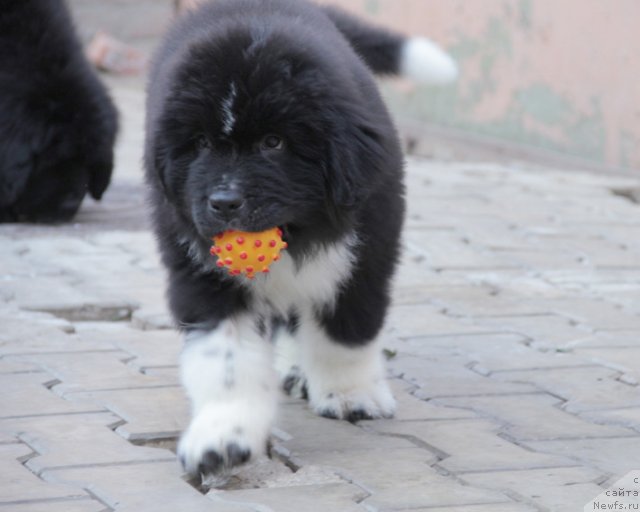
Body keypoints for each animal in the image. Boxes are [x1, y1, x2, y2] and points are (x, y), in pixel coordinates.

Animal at [145, 0, 456, 480]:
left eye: (274, 143)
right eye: (200, 143)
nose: (223, 202)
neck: (296, 230)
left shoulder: (366, 254)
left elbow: (346, 332)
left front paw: (350, 396)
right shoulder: (200, 271)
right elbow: (225, 359)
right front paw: (222, 437)